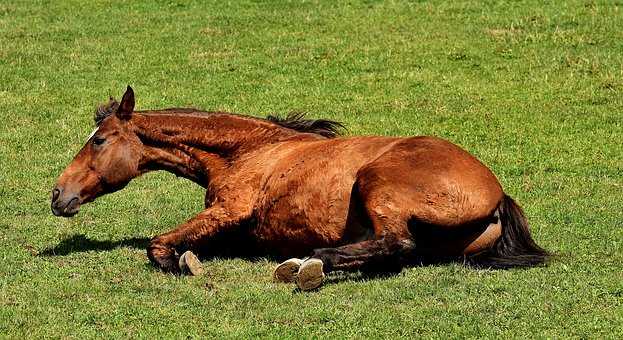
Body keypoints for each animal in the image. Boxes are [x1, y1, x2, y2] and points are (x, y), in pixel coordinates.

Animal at [53, 86, 552, 290]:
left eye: (99, 140)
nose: (58, 195)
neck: (248, 148)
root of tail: (497, 194)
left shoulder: (230, 210)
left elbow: (158, 245)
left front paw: (183, 264)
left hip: (376, 183)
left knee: (396, 243)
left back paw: (310, 264)